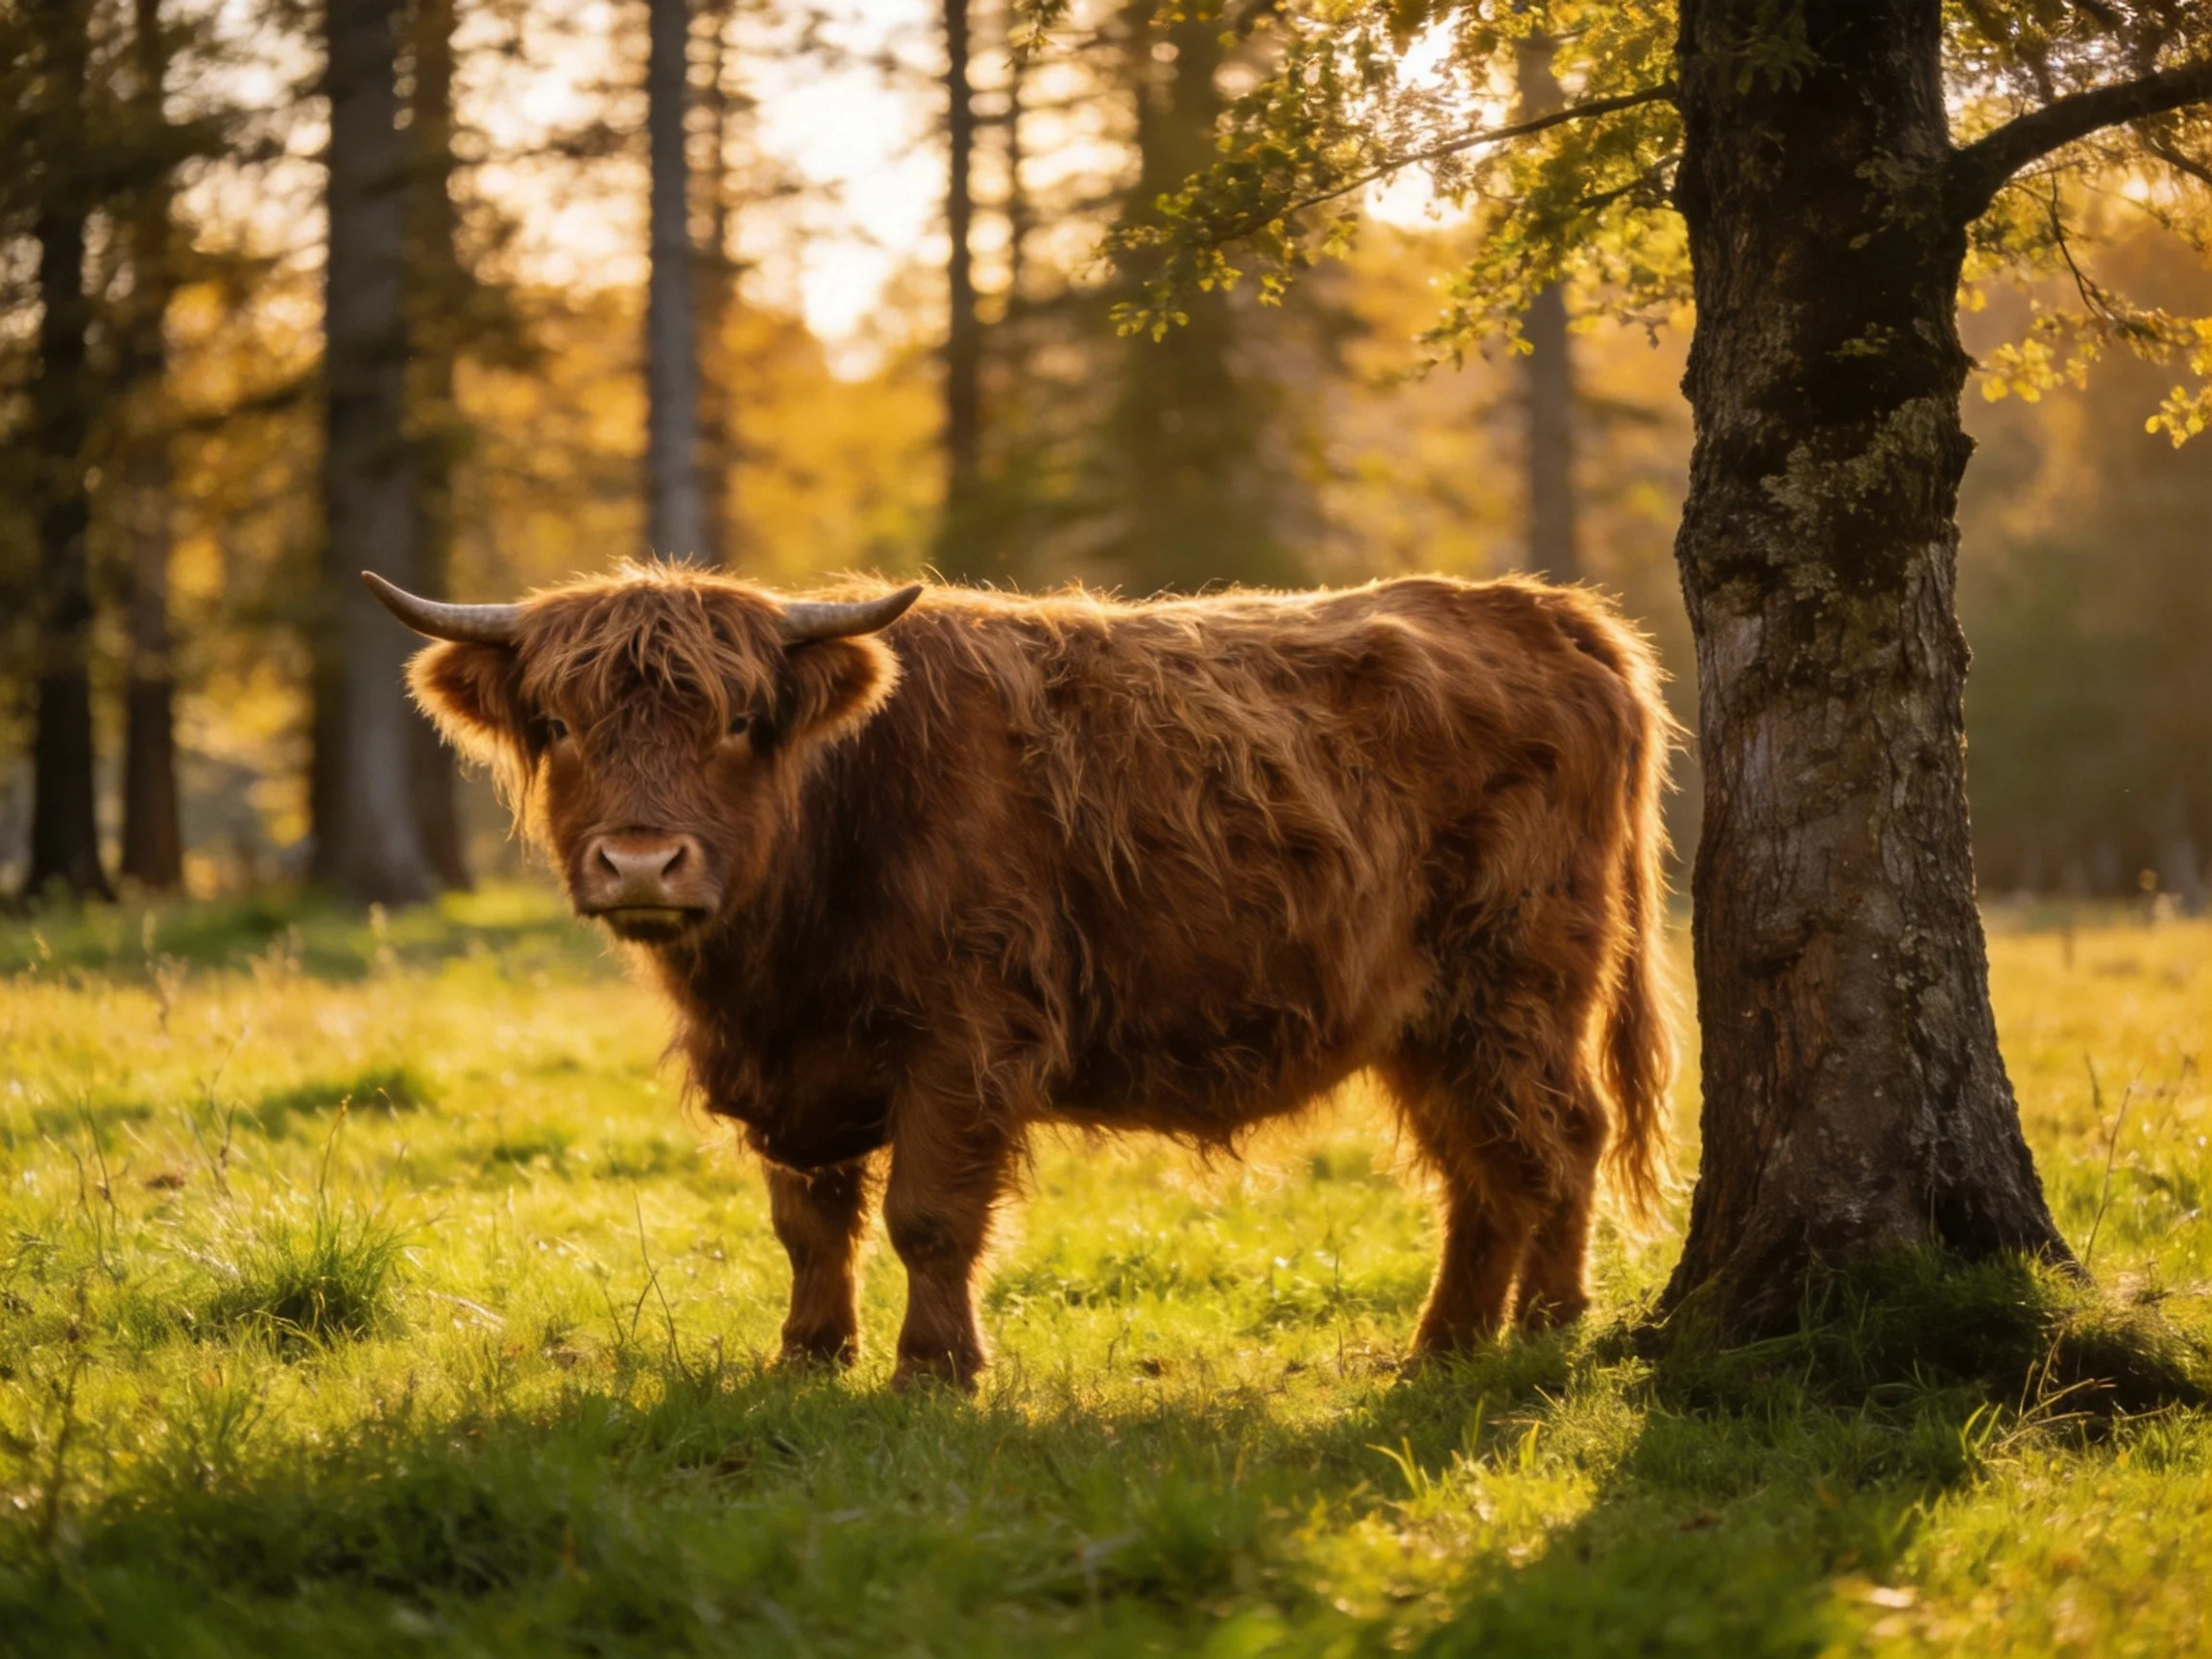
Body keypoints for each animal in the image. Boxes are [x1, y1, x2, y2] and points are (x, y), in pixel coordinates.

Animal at [367, 563, 1676, 1388]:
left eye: (740, 720)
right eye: (558, 724)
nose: (642, 861)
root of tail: (1539, 609)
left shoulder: (965, 1038)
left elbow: (929, 1215)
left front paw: (935, 1370)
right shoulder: (795, 1065)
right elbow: (809, 1223)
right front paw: (808, 1357)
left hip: (1515, 983)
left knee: (1557, 1139)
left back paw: (1549, 1330)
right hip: (1424, 1018)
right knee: (1479, 1168)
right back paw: (1446, 1345)